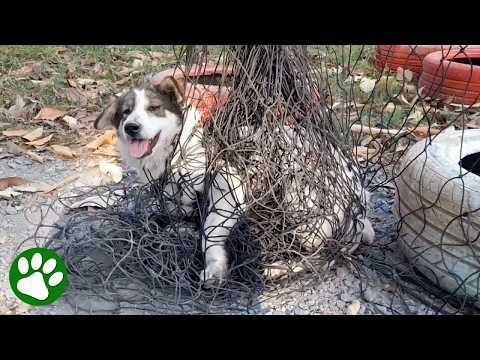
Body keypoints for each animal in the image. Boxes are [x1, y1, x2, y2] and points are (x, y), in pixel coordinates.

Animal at [94, 76, 376, 286]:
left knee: (324, 254)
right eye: (125, 113)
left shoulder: (228, 185)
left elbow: (209, 231)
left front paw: (215, 266)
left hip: (299, 198)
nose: (131, 127)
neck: (178, 145)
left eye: (154, 108)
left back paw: (279, 268)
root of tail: (359, 204)